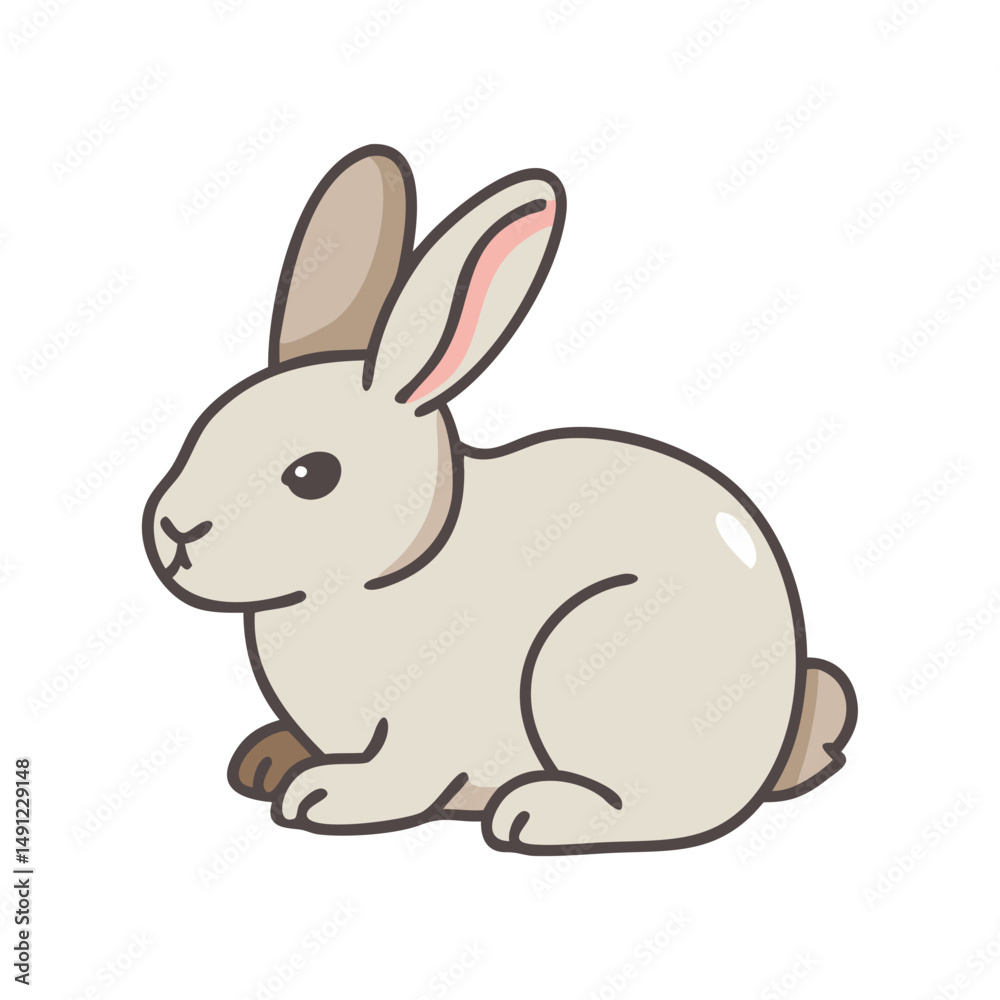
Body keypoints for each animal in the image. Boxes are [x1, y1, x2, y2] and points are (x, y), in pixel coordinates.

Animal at [143, 144, 856, 855]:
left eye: (311, 474)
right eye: (205, 429)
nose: (175, 533)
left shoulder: (430, 717)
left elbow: (409, 770)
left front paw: (327, 794)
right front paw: (271, 760)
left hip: (589, 659)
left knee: (669, 808)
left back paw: (537, 811)